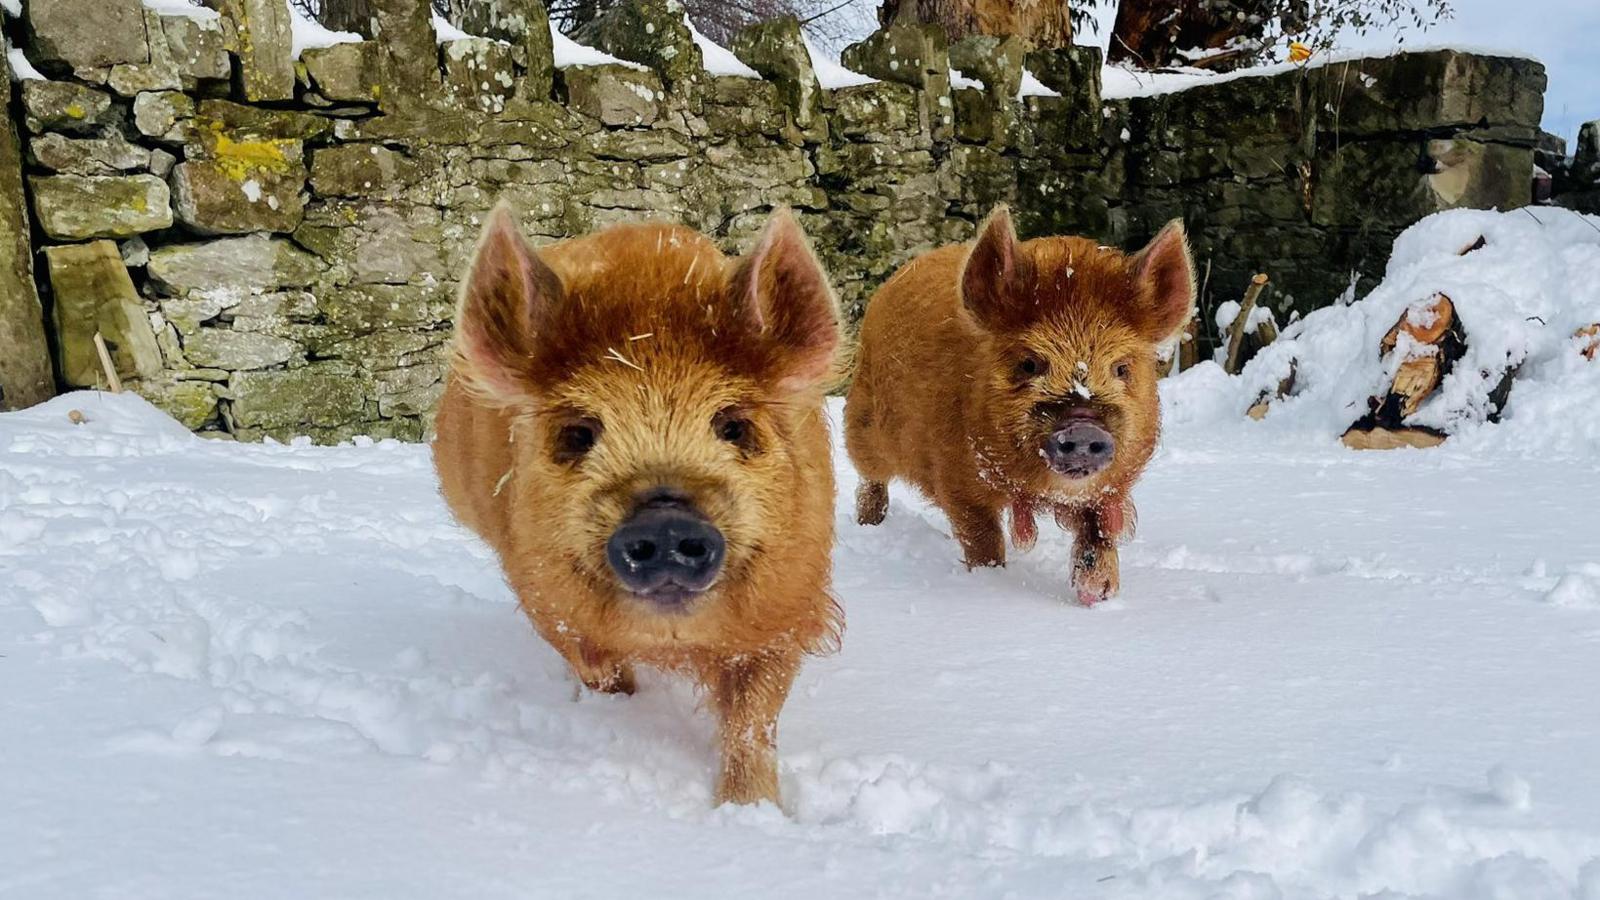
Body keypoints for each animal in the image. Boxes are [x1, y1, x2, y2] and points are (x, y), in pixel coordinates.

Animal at [432, 204, 844, 807]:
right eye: (578, 434)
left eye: (733, 426)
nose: (666, 518)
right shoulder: (544, 597)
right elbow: (599, 668)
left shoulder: (787, 606)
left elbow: (753, 715)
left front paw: (751, 810)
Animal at [844, 204, 1196, 602]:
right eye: (1029, 363)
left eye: (1121, 368)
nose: (1083, 425)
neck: (1041, 492)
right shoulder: (957, 482)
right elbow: (982, 538)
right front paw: (991, 579)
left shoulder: (1110, 488)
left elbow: (1097, 535)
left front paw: (1100, 595)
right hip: (863, 422)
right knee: (870, 477)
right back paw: (869, 523)